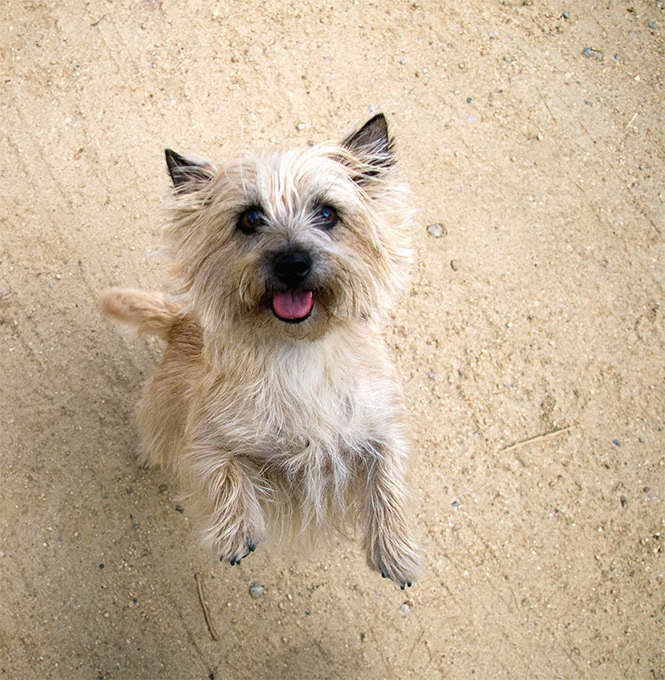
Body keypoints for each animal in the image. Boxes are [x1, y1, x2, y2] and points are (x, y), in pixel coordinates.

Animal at [101, 114, 422, 588]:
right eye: (250, 218)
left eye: (327, 213)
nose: (293, 262)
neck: (299, 353)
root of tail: (183, 322)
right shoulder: (210, 435)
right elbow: (223, 470)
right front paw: (236, 533)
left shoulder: (382, 427)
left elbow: (389, 481)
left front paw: (395, 551)